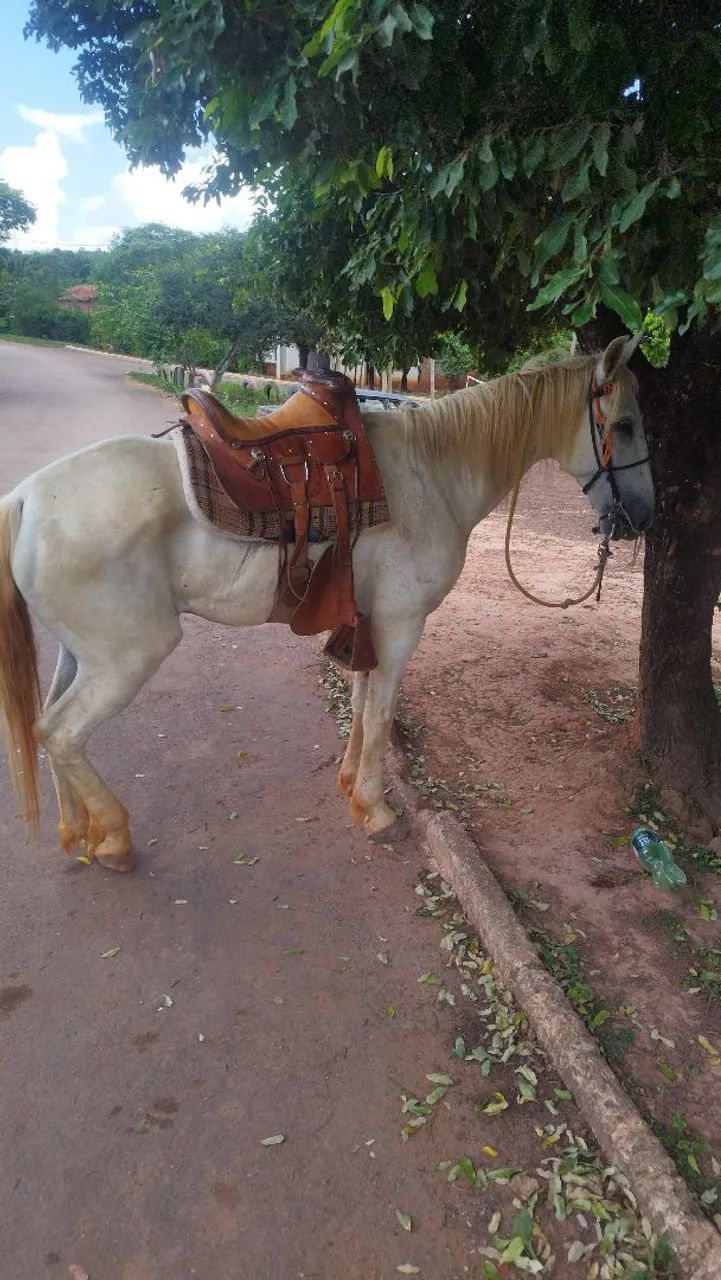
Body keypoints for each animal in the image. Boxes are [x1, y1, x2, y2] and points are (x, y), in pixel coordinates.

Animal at [0, 336, 653, 873]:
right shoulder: (401, 624)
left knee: (48, 726)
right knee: (60, 732)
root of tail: (28, 496)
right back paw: (114, 836)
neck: (434, 473)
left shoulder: (369, 621)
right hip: (129, 656)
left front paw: (349, 789)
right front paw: (377, 810)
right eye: (623, 425)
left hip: (83, 654)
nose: (641, 518)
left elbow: (362, 704)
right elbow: (383, 713)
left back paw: (80, 833)